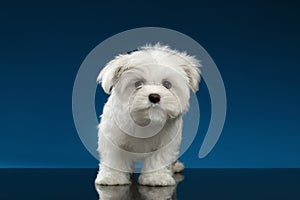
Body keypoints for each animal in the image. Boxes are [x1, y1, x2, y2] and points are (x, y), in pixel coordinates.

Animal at [95, 43, 200, 186]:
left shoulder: (167, 141)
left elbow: (159, 158)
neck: (145, 121)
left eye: (167, 84)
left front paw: (155, 178)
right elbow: (114, 157)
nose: (154, 97)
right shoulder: (112, 136)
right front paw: (112, 177)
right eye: (138, 84)